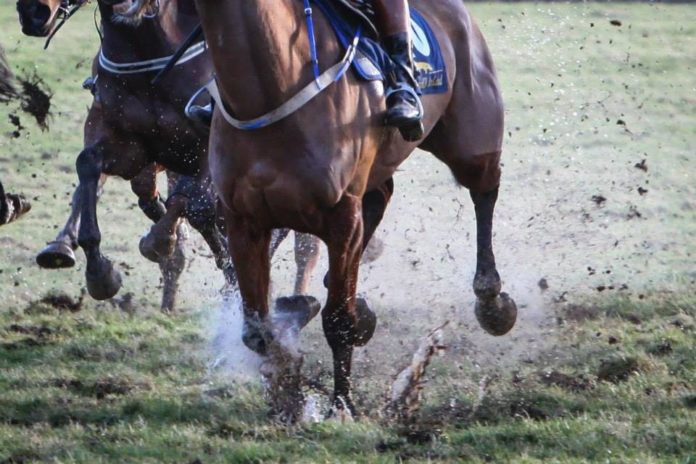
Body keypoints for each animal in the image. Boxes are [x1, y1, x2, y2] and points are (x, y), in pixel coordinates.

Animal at [125, 0, 520, 416]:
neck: (269, 88)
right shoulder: (242, 221)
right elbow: (258, 329)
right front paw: (287, 400)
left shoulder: (341, 217)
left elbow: (337, 320)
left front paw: (341, 404)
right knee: (382, 196)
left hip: (470, 141)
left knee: (484, 190)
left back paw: (491, 299)